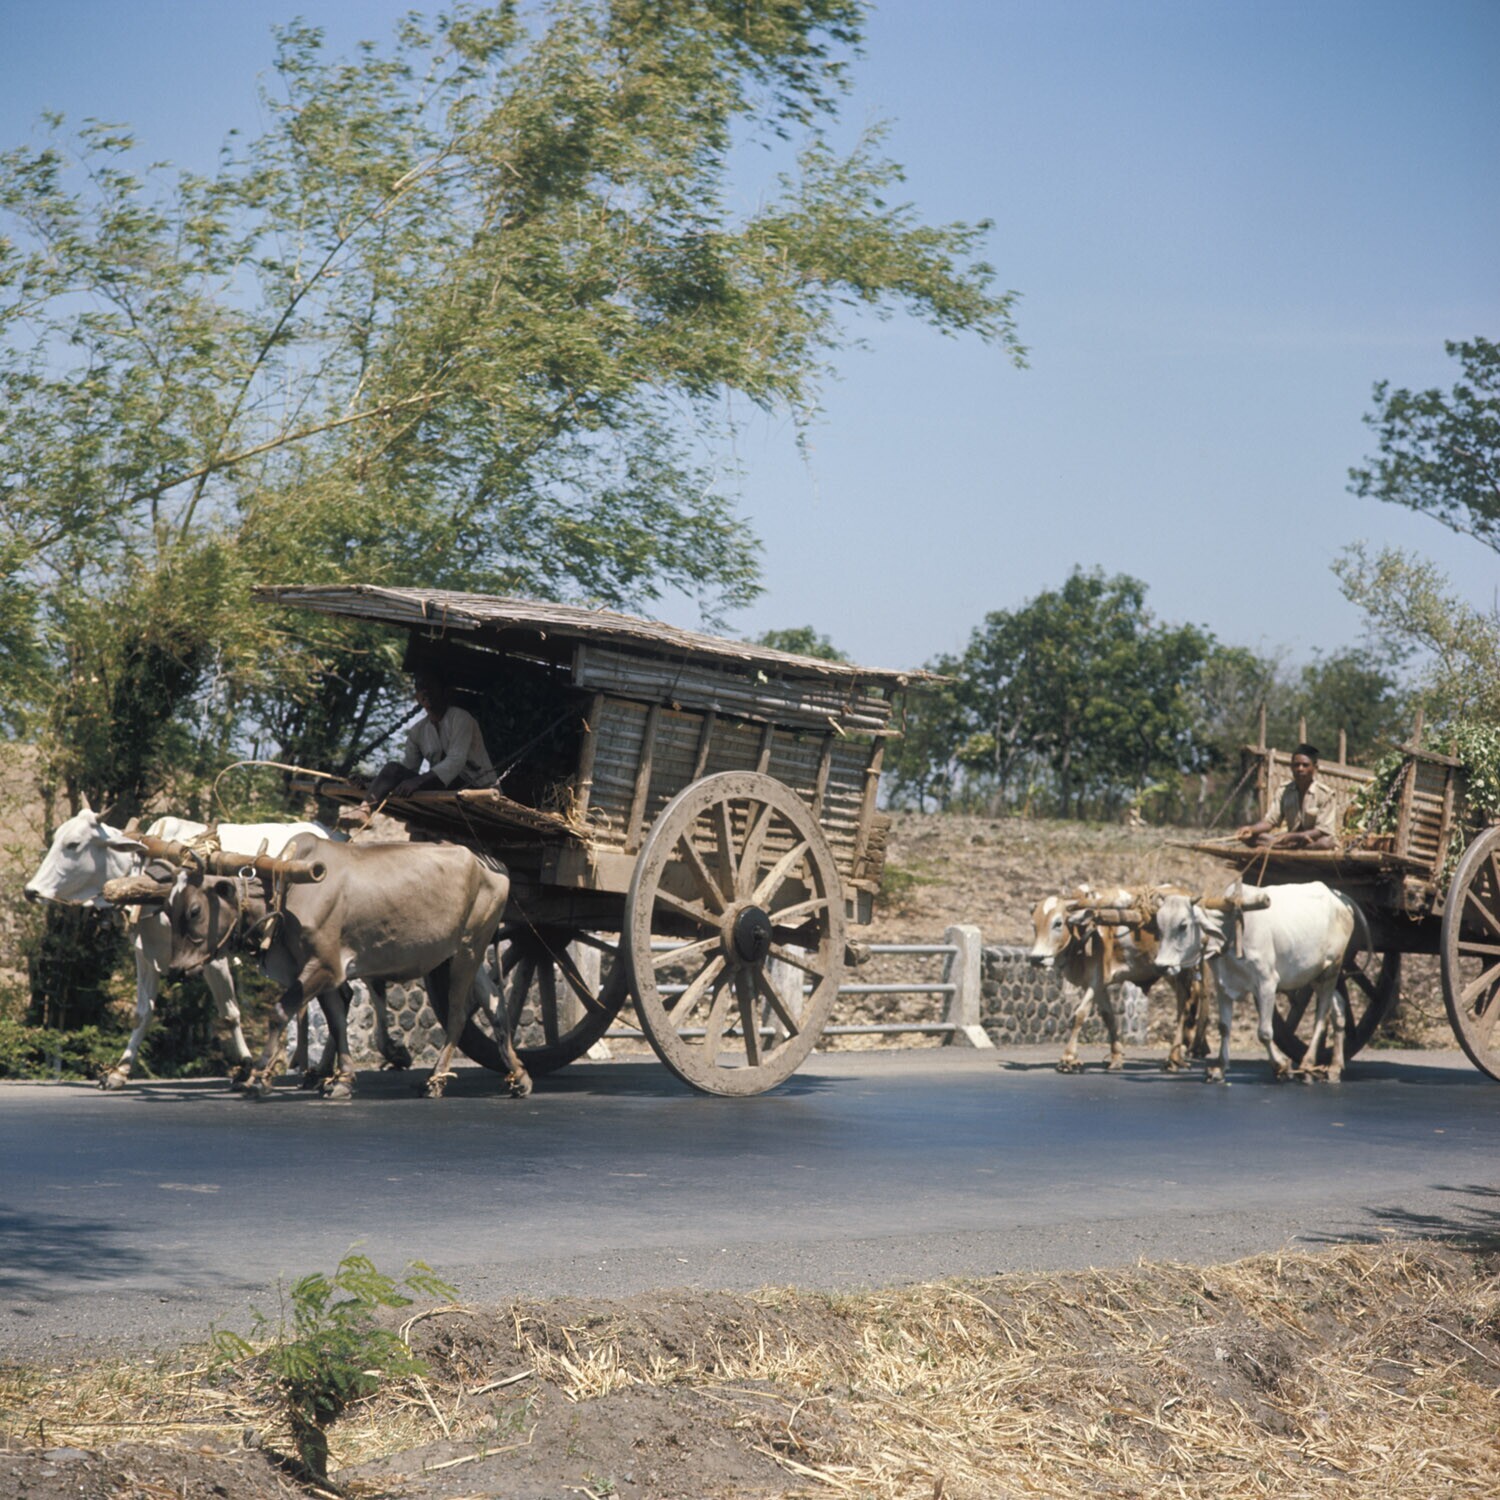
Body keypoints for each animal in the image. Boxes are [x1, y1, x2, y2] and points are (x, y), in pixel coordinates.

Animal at [22, 806, 344, 1089]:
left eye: (73, 844)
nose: (30, 890)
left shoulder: (213, 956)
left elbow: (229, 1013)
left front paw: (244, 1068)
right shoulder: (145, 952)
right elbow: (143, 1012)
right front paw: (119, 1072)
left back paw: (324, 1073)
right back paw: (316, 1071)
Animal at [162, 833, 527, 1102]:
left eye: (194, 910)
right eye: (168, 909)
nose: (175, 970)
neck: (286, 892)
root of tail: (492, 864)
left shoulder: (323, 966)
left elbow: (280, 1012)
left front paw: (259, 1075)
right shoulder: (317, 970)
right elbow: (336, 1021)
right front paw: (342, 1079)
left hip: (470, 948)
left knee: (458, 1013)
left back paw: (436, 1079)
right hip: (463, 951)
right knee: (494, 1005)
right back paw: (518, 1075)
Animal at [1028, 884, 1212, 1073]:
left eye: (1058, 923)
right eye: (1034, 925)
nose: (1036, 958)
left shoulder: (1094, 981)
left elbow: (1079, 1015)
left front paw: (1068, 1059)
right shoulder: (1099, 984)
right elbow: (1108, 1016)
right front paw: (1116, 1058)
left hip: (1183, 969)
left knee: (1185, 1005)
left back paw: (1174, 1058)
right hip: (1170, 971)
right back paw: (1193, 1049)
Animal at [1151, 881, 1360, 1084]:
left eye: (1183, 926)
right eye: (1159, 928)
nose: (1161, 966)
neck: (1231, 929)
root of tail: (1343, 900)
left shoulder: (1267, 983)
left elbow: (1265, 1032)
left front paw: (1281, 1066)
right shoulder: (1223, 987)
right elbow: (1224, 1027)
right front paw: (1220, 1069)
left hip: (1333, 968)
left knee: (1322, 1016)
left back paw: (1307, 1066)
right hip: (1314, 976)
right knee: (1338, 1009)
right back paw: (1334, 1067)